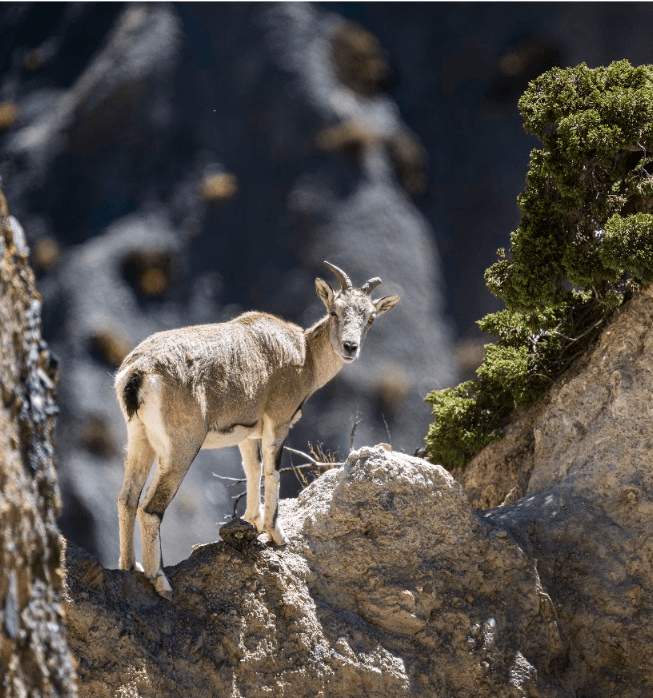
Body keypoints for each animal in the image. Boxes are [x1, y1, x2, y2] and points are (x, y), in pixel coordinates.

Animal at [114, 261, 400, 599]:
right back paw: (160, 581)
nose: (350, 347)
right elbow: (273, 473)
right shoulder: (278, 421)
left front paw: (251, 522)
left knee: (127, 499)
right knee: (150, 508)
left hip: (139, 439)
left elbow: (252, 470)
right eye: (334, 311)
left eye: (370, 317)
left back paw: (129, 567)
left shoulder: (248, 433)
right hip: (181, 447)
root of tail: (139, 372)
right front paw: (277, 534)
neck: (305, 357)